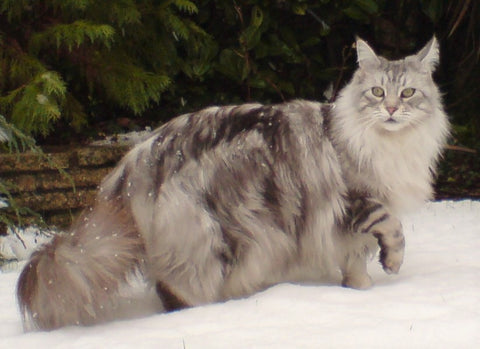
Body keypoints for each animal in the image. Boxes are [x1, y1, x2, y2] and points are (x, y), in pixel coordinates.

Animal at [15, 37, 450, 328]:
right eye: (377, 92)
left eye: (407, 93)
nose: (391, 109)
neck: (387, 144)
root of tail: (137, 156)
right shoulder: (358, 202)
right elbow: (390, 230)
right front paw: (389, 267)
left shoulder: (347, 228)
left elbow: (354, 262)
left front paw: (359, 291)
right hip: (220, 232)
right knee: (183, 289)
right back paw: (220, 312)